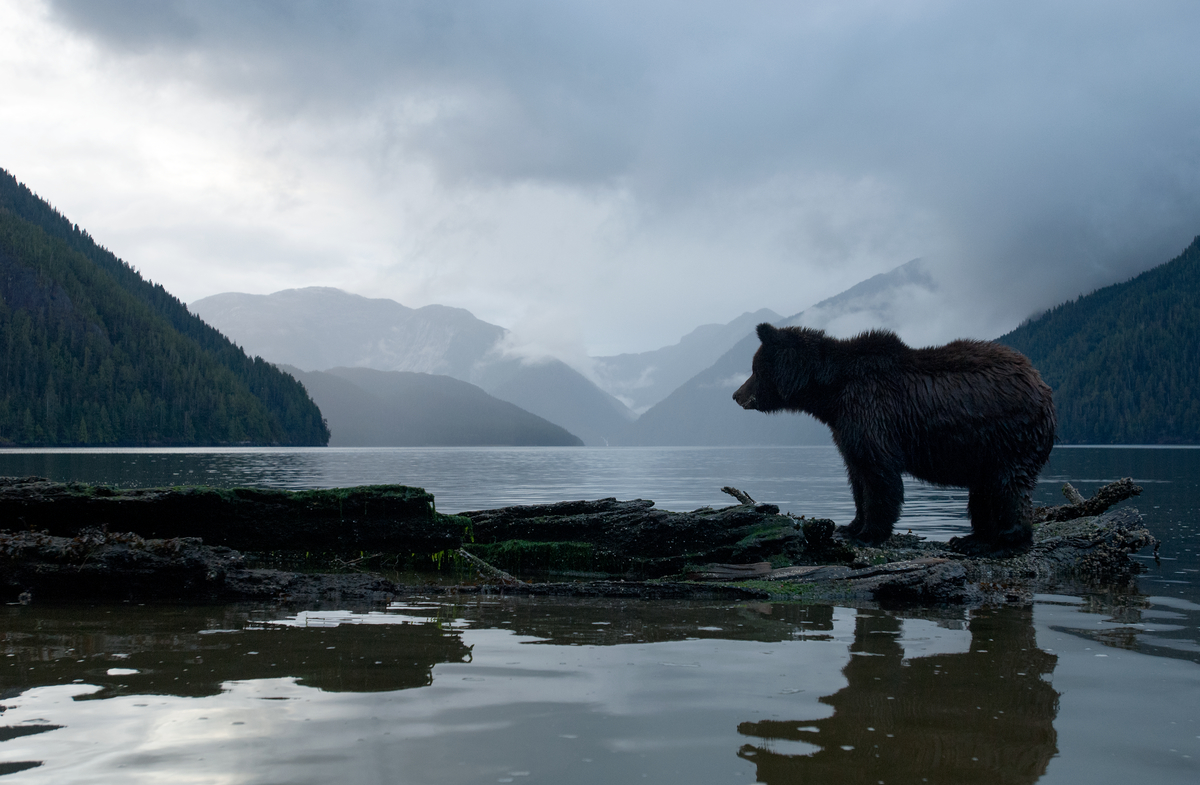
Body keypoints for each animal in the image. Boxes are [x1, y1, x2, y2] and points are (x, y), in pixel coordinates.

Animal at [729, 324, 1060, 556]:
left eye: (754, 369)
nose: (736, 395)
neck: (831, 393)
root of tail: (1042, 384)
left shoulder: (872, 412)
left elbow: (879, 475)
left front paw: (869, 533)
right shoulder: (846, 425)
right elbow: (857, 475)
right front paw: (851, 526)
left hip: (1010, 435)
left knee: (1008, 487)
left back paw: (1002, 543)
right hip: (987, 449)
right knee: (983, 492)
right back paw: (969, 539)